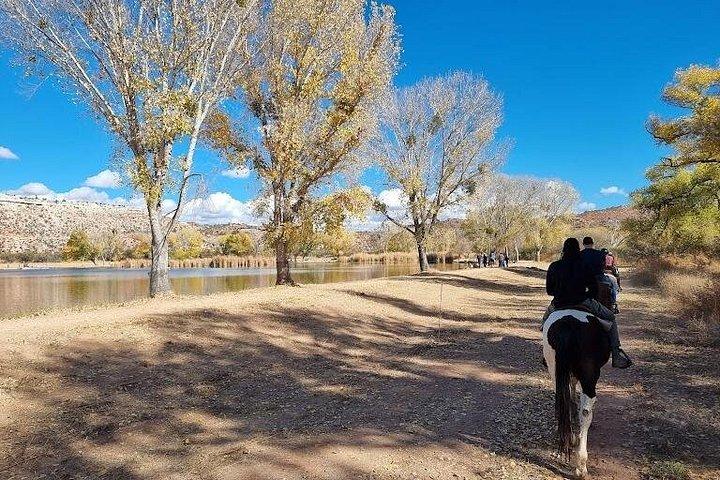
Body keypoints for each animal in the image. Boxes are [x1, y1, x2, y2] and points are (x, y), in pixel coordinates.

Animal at [542, 309, 611, 478]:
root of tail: (568, 325)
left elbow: (571, 392)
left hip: (554, 370)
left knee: (562, 401)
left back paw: (570, 438)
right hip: (589, 376)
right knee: (586, 412)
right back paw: (581, 465)